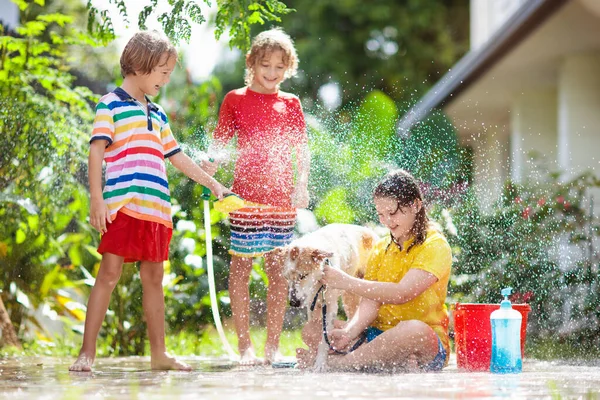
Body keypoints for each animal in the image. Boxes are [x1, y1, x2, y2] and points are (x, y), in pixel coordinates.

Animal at [274, 223, 378, 370]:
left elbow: (324, 338)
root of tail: (369, 231)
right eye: (286, 277)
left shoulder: (330, 306)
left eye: (303, 276)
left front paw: (320, 363)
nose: (294, 303)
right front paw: (310, 358)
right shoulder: (311, 306)